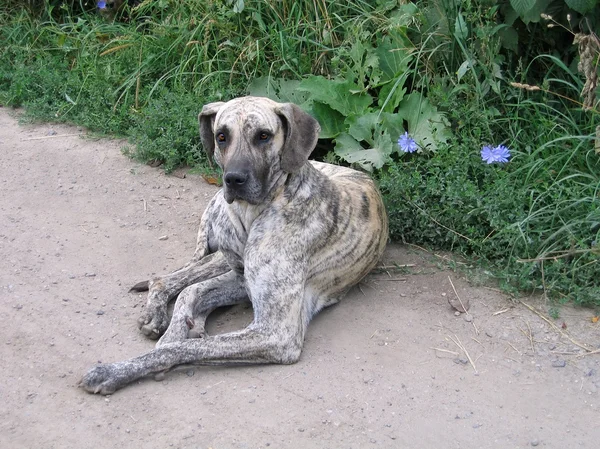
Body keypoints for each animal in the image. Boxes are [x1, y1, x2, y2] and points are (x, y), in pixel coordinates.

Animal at [78, 95, 390, 392]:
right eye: (221, 136)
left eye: (263, 135)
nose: (233, 179)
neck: (255, 211)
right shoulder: (244, 283)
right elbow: (189, 315)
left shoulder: (275, 333)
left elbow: (186, 346)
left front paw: (113, 371)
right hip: (221, 254)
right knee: (173, 281)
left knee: (188, 289)